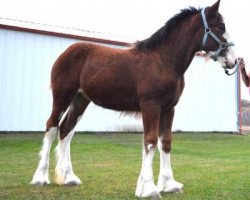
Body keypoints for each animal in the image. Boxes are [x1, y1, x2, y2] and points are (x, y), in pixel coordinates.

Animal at [30, 0, 238, 197]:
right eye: (220, 27)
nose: (233, 60)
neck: (163, 61)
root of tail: (67, 52)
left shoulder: (168, 109)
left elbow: (166, 142)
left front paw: (169, 185)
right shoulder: (150, 106)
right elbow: (150, 141)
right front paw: (149, 188)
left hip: (81, 100)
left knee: (66, 131)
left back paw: (69, 178)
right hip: (62, 97)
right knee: (52, 127)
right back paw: (40, 177)